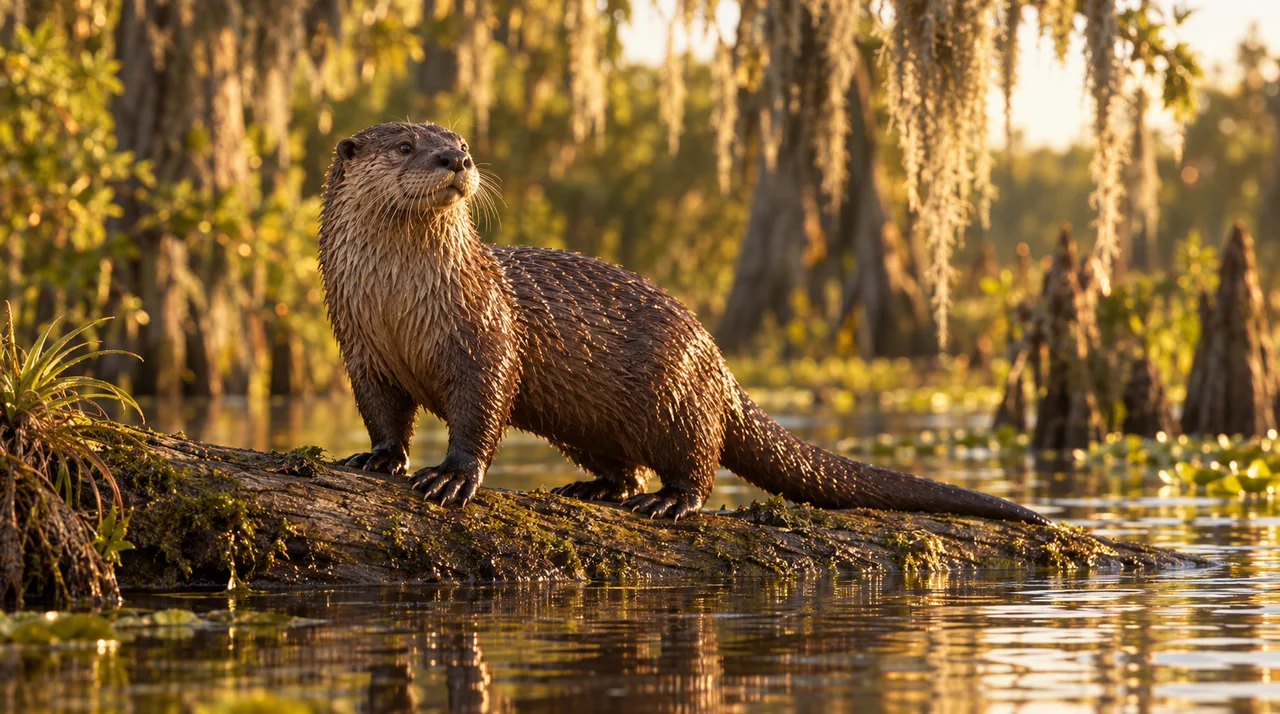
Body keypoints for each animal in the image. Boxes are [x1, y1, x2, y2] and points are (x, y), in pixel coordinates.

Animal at [319, 121, 1049, 525]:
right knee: (624, 468)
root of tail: (717, 360)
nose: (457, 160)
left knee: (696, 462)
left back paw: (668, 503)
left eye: (463, 142)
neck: (399, 306)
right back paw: (592, 487)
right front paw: (376, 457)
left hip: (676, 396)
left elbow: (481, 408)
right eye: (407, 144)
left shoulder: (485, 335)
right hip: (592, 422)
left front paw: (451, 477)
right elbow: (382, 413)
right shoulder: (360, 347)